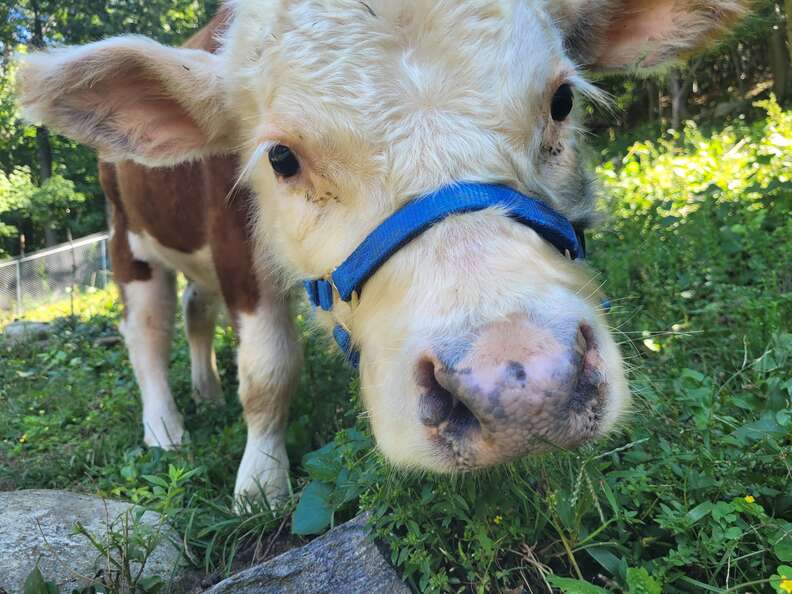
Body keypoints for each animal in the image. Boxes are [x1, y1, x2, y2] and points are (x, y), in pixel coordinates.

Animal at [18, 0, 748, 502]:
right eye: (281, 158)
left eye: (562, 100)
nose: (522, 387)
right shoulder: (237, 254)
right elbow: (268, 370)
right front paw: (260, 482)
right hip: (127, 241)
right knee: (146, 330)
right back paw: (166, 427)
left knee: (197, 312)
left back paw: (204, 389)